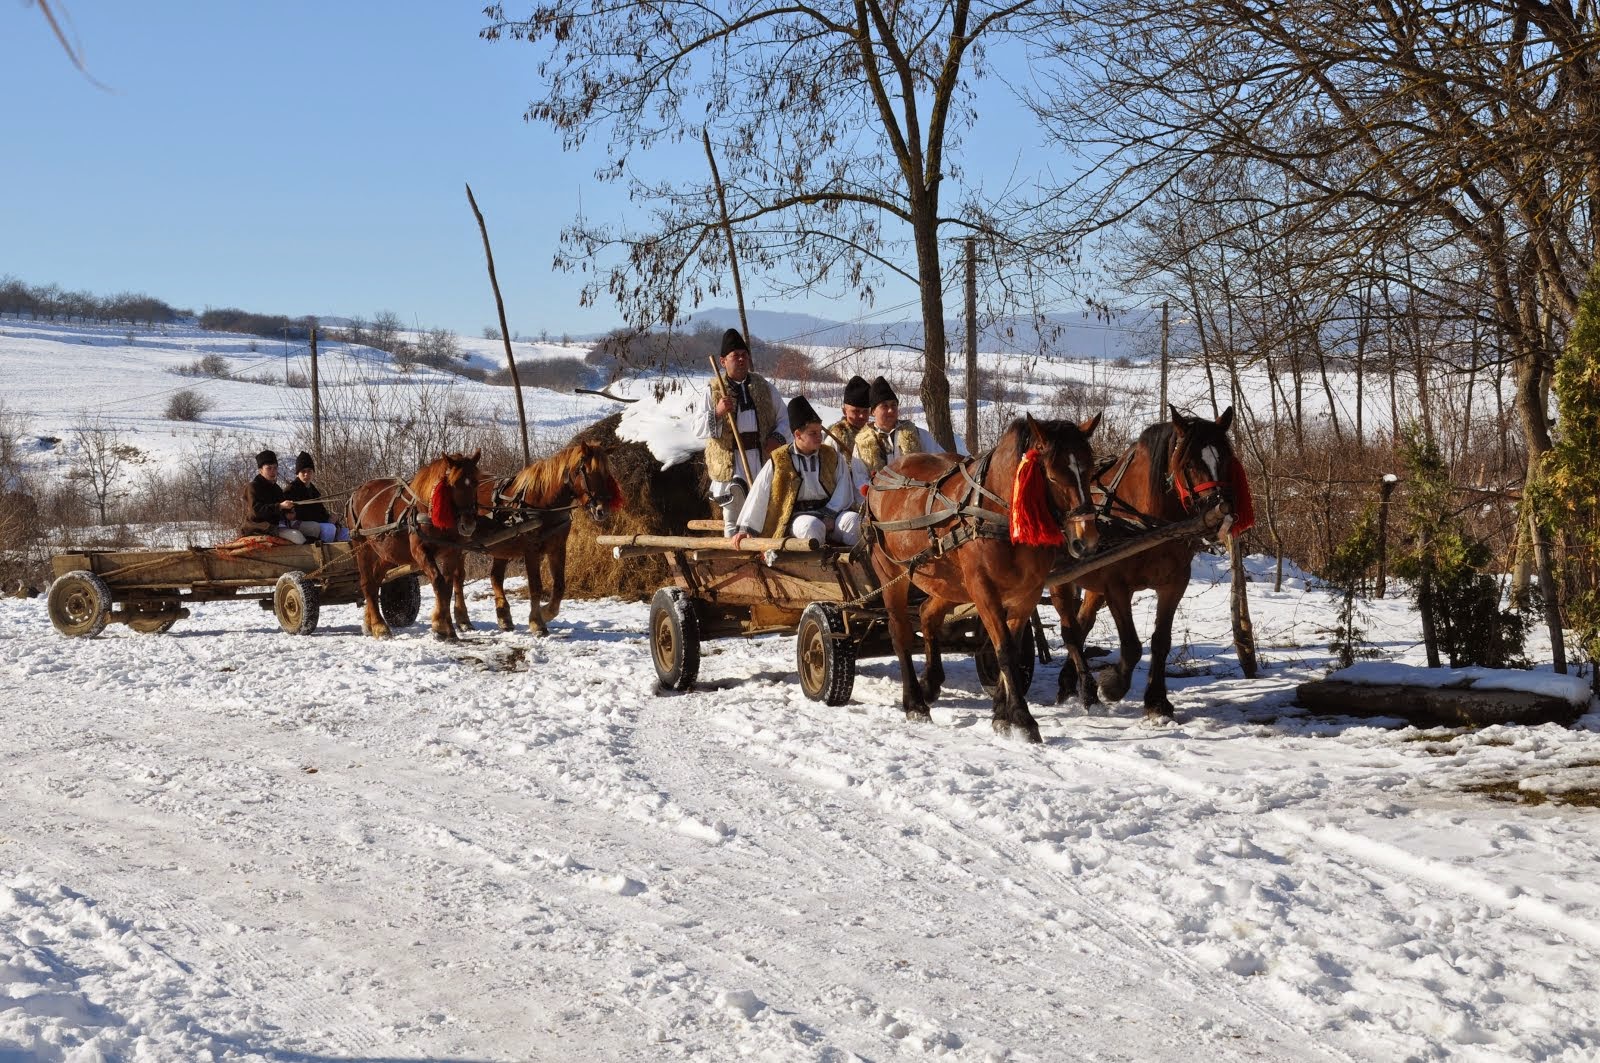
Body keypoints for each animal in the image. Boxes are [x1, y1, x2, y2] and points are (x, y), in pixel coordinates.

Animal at [345, 448, 480, 640]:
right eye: (452, 485)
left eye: (475, 482)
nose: (467, 524)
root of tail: (356, 492)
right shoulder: (420, 551)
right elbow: (438, 582)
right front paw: (441, 627)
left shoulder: (452, 552)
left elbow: (447, 586)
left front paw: (445, 626)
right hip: (362, 546)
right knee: (367, 583)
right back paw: (379, 627)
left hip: (387, 552)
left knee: (376, 581)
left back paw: (370, 623)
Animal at [454, 438, 627, 633]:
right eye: (588, 472)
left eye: (607, 474)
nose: (602, 510)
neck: (543, 502)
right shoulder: (531, 549)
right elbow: (536, 586)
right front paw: (537, 622)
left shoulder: (557, 548)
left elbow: (559, 586)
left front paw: (546, 613)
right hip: (460, 546)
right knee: (458, 578)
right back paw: (463, 619)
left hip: (502, 547)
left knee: (495, 577)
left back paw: (504, 617)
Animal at [864, 409, 1100, 742]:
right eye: (1052, 476)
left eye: (1090, 469)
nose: (1086, 541)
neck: (999, 514)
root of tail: (882, 476)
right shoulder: (984, 590)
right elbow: (1004, 651)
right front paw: (1023, 719)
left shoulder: (1026, 593)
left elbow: (1008, 649)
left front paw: (1001, 713)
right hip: (890, 575)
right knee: (900, 634)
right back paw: (914, 702)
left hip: (945, 583)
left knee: (927, 616)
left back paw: (930, 682)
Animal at [1049, 403, 1248, 717]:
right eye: (1189, 463)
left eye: (1226, 459)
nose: (1222, 511)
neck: (1147, 525)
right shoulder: (1117, 587)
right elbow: (1131, 645)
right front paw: (1112, 684)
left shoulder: (1174, 584)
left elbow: (1161, 641)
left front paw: (1157, 701)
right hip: (1060, 580)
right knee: (1070, 631)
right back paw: (1086, 690)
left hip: (1093, 585)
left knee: (1082, 625)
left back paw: (1069, 683)